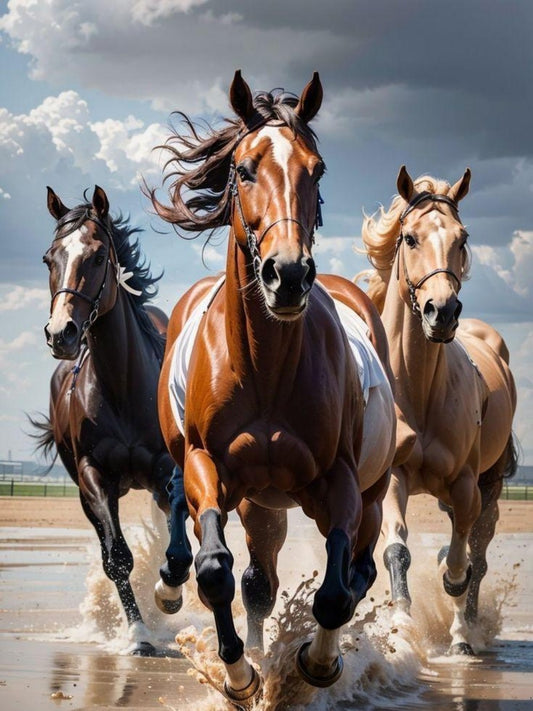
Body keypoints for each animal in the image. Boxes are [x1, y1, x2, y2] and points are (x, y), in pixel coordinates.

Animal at [31, 186, 192, 655]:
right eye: (49, 258)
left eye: (99, 255)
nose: (61, 333)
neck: (123, 386)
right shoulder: (94, 476)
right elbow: (117, 557)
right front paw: (138, 636)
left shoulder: (167, 469)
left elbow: (177, 541)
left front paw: (169, 594)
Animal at [149, 70, 396, 707]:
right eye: (244, 169)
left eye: (318, 169)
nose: (287, 274)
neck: (264, 367)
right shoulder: (207, 467)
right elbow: (215, 569)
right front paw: (241, 676)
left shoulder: (340, 481)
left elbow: (335, 591)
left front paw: (315, 662)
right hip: (256, 502)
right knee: (255, 579)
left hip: (370, 492)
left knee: (356, 570)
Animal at [357, 166, 517, 655]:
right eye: (409, 237)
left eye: (462, 238)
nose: (442, 312)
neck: (418, 389)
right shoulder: (393, 478)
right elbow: (397, 550)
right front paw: (400, 625)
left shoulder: (466, 485)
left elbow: (462, 563)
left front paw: (457, 618)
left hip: (489, 486)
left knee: (478, 556)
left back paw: (466, 633)